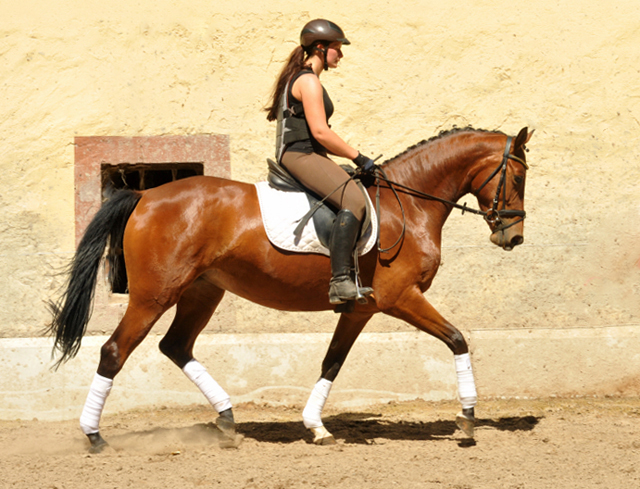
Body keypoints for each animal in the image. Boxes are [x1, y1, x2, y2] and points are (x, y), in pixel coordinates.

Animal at [47, 125, 532, 450]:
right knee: (115, 351)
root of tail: (146, 196)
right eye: (519, 176)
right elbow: (457, 338)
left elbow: (332, 362)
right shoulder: (401, 298)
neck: (409, 205)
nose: (513, 237)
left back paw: (227, 420)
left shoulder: (361, 308)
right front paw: (467, 417)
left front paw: (316, 426)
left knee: (176, 346)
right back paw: (94, 436)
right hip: (155, 295)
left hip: (204, 291)